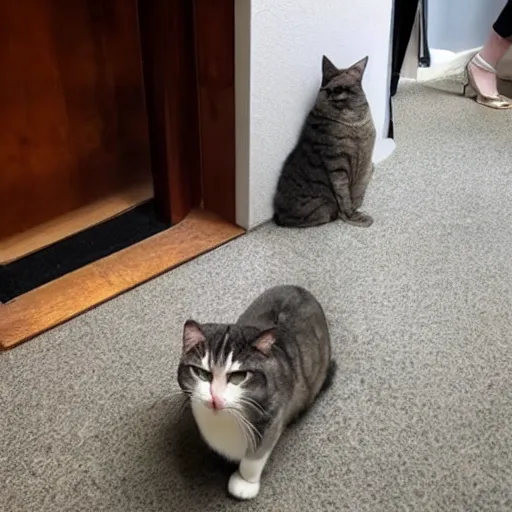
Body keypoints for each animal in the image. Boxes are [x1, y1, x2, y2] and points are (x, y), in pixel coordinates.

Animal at [177, 286, 336, 502]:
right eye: (202, 373)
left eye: (238, 376)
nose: (215, 397)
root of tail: (299, 289)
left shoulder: (273, 414)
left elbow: (256, 454)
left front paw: (245, 482)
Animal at [274, 54, 378, 228]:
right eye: (333, 87)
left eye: (342, 88)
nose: (334, 93)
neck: (353, 122)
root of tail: (278, 215)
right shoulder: (337, 163)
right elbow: (344, 196)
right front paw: (354, 216)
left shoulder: (365, 166)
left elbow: (357, 193)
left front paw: (356, 208)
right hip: (323, 207)